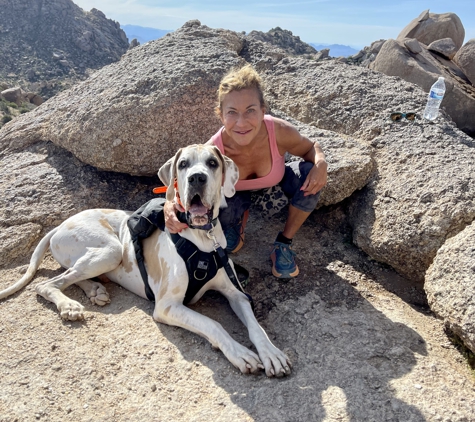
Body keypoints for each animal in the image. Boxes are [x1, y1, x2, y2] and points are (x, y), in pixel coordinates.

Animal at [0, 147, 292, 378]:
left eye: (212, 163)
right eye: (183, 164)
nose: (197, 178)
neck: (202, 239)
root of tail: (60, 224)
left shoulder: (236, 293)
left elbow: (256, 327)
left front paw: (271, 353)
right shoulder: (166, 306)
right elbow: (214, 324)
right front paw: (240, 353)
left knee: (71, 275)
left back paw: (94, 290)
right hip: (112, 250)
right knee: (48, 283)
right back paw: (69, 305)